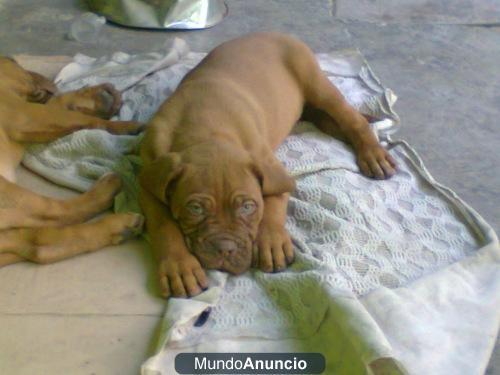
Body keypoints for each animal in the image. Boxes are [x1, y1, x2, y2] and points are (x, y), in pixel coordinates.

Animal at [0, 55, 145, 268]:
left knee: (39, 245)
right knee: (57, 211)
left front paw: (91, 99)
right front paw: (125, 126)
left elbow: (60, 104)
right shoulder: (27, 115)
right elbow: (87, 120)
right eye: (15, 63)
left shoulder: (34, 114)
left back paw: (117, 228)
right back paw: (108, 191)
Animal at [139, 33, 396, 302]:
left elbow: (272, 199)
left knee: (352, 119)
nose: (225, 249)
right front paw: (179, 266)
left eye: (248, 207)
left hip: (317, 84)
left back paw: (373, 153)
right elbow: (163, 225)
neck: (205, 127)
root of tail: (273, 33)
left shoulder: (272, 169)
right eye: (195, 208)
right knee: (326, 119)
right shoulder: (148, 180)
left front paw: (271, 242)